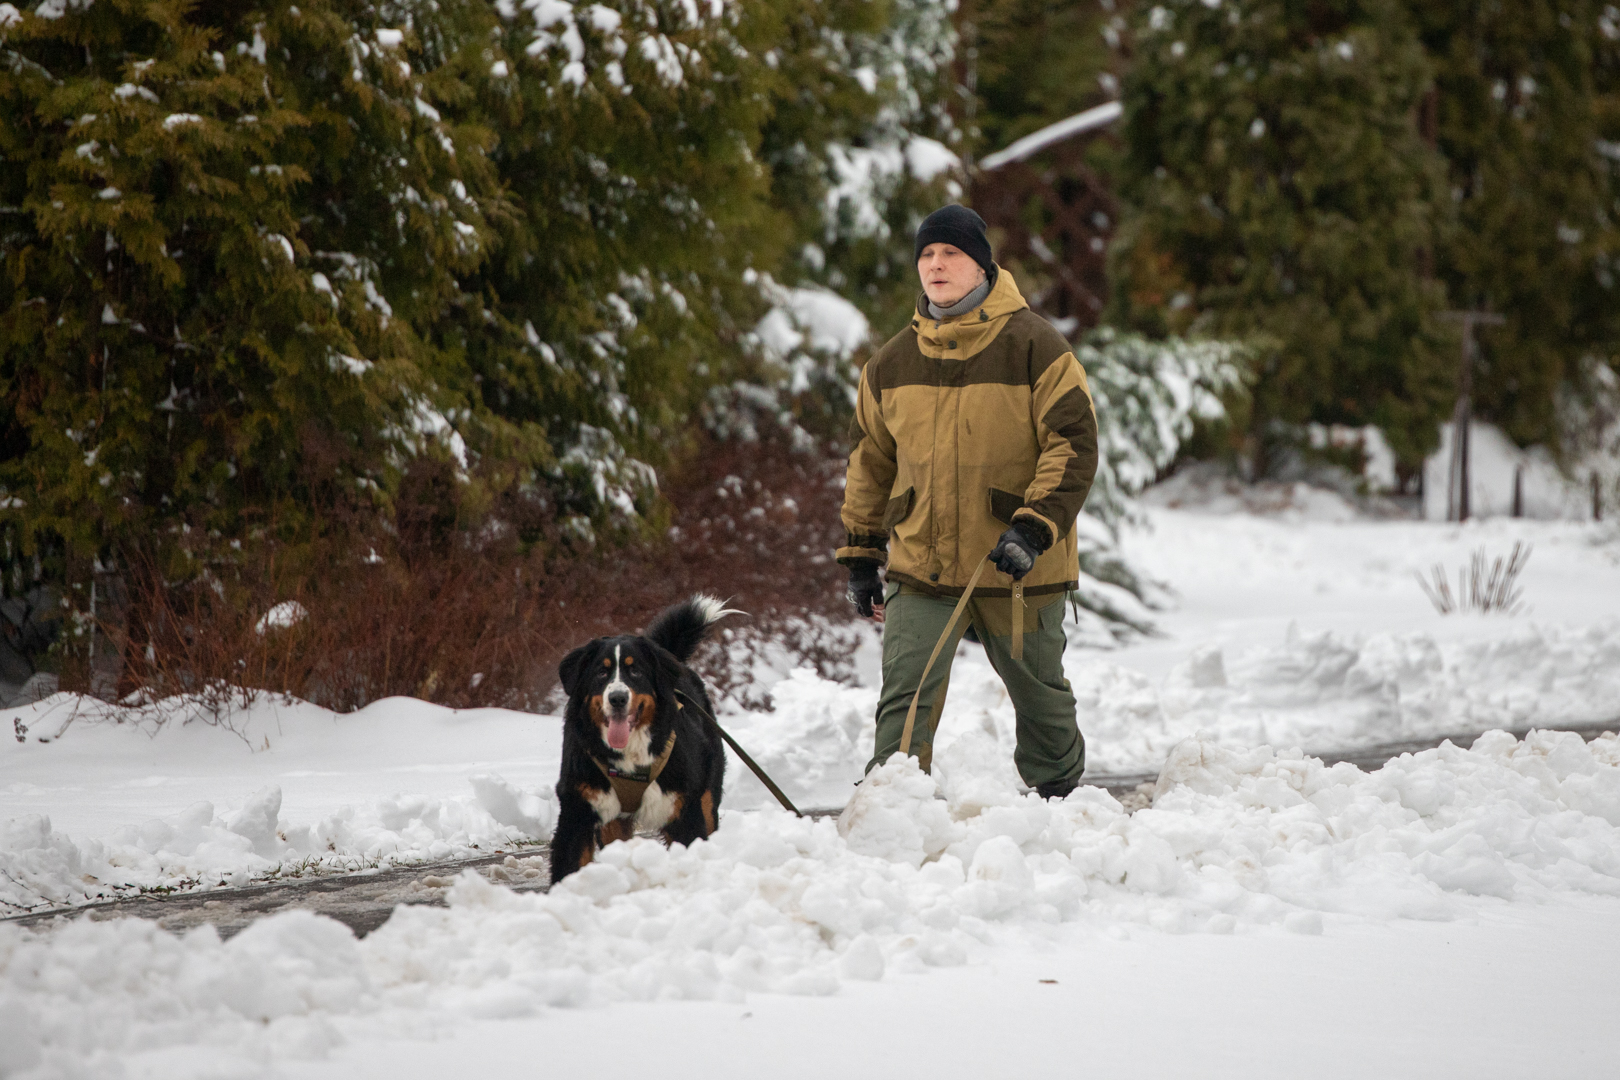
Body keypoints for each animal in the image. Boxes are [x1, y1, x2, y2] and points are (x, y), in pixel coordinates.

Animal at [550, 595, 741, 880]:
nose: (618, 698)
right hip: (613, 825)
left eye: (635, 671)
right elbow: (568, 867)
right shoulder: (577, 808)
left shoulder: (684, 810)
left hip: (706, 797)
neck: (629, 754)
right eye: (601, 672)